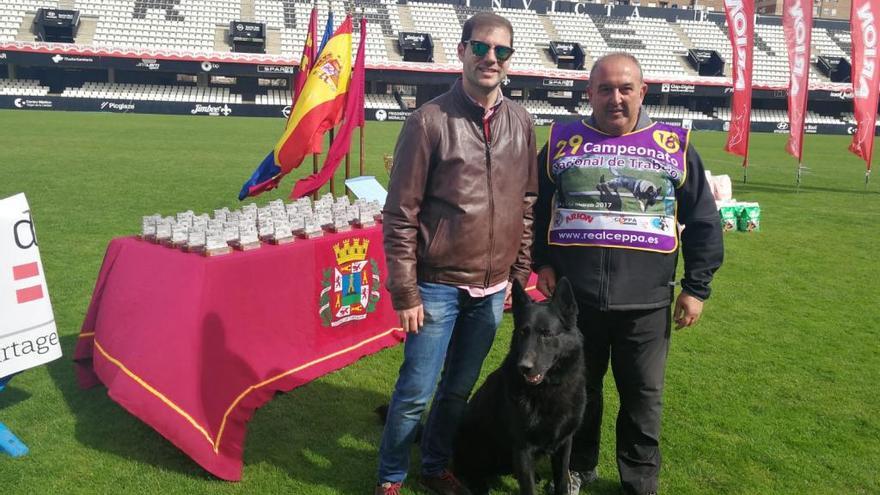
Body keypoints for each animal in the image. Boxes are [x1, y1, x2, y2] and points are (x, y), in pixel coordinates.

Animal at [454, 280, 584, 495]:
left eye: (546, 334)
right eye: (523, 332)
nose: (524, 367)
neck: (548, 390)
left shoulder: (565, 444)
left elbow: (562, 482)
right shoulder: (523, 448)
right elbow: (528, 488)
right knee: (468, 470)